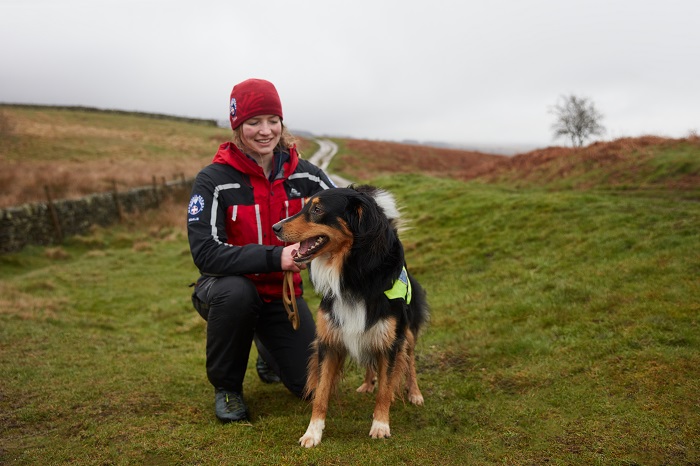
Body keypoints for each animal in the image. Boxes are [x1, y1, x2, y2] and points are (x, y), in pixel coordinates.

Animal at [272, 184, 426, 446]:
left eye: (317, 209)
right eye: (305, 205)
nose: (275, 228)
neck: (353, 274)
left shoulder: (391, 340)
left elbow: (386, 388)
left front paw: (380, 425)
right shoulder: (330, 340)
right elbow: (321, 392)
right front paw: (313, 432)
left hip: (407, 330)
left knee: (410, 359)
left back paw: (414, 392)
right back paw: (367, 383)